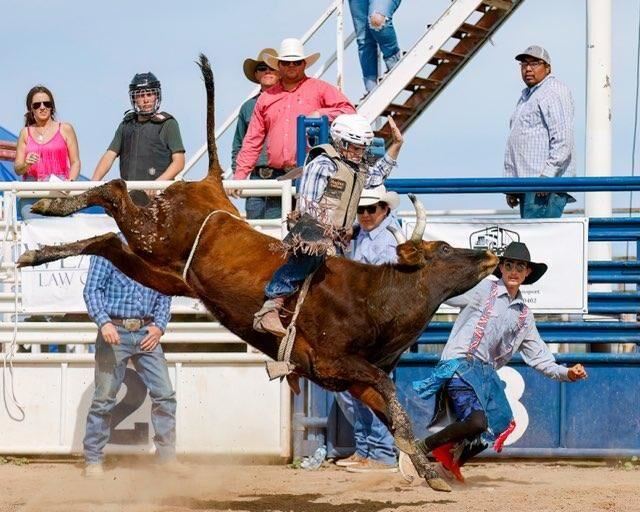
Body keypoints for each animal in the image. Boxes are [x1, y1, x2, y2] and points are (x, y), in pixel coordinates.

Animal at [17, 54, 500, 490]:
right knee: (115, 190)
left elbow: (395, 417)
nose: (489, 258)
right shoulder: (335, 361)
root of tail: (211, 184)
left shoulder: (350, 381)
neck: (377, 295)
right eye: (443, 249)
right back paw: (50, 205)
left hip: (161, 272)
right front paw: (430, 469)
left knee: (105, 241)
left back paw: (35, 253)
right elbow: (391, 392)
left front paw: (430, 471)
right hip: (154, 233)